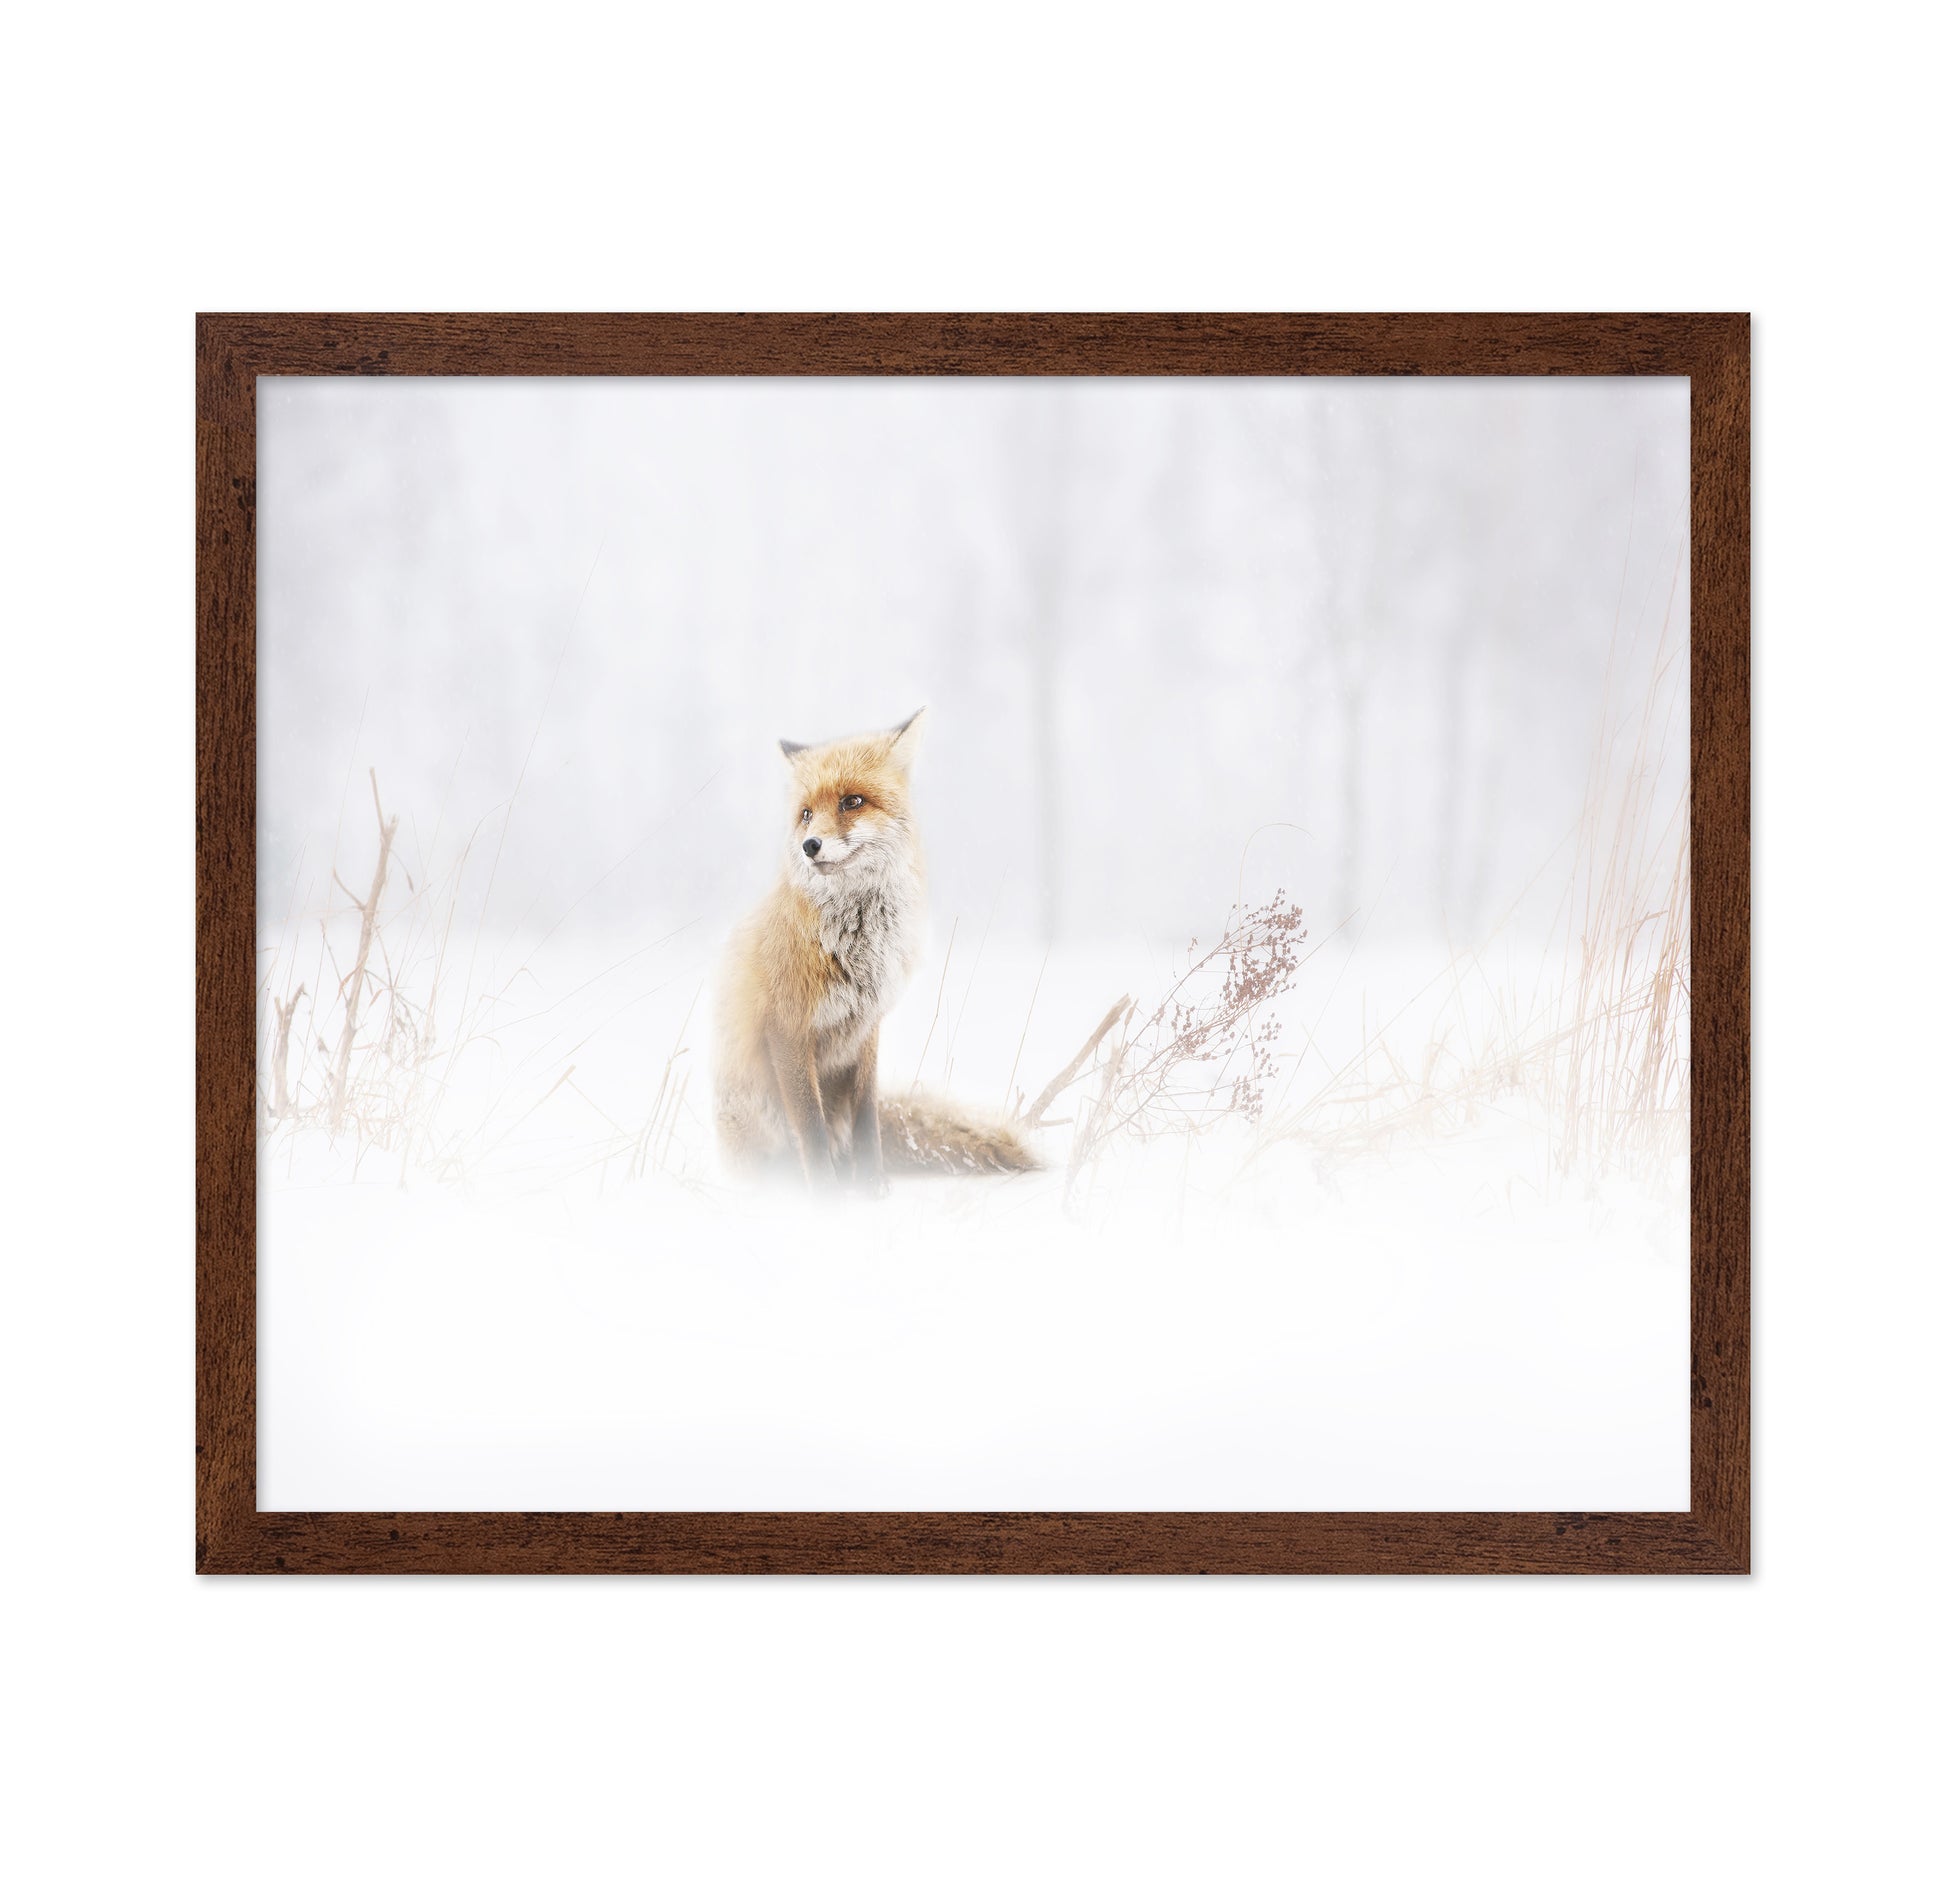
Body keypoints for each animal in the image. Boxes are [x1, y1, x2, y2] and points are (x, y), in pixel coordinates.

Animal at [713, 708, 1038, 1187]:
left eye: (852, 802)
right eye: (806, 814)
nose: (810, 846)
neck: (858, 949)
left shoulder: (866, 1029)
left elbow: (867, 1117)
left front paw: (872, 1189)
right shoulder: (787, 1028)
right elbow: (811, 1127)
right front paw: (827, 1196)